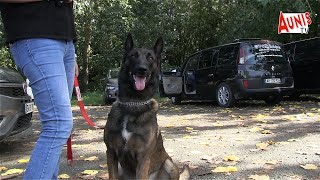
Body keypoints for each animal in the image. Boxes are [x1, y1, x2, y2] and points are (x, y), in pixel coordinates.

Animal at [103, 34, 190, 180]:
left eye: (150, 58)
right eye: (133, 55)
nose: (142, 69)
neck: (133, 103)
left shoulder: (143, 157)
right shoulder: (111, 153)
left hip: (169, 163)